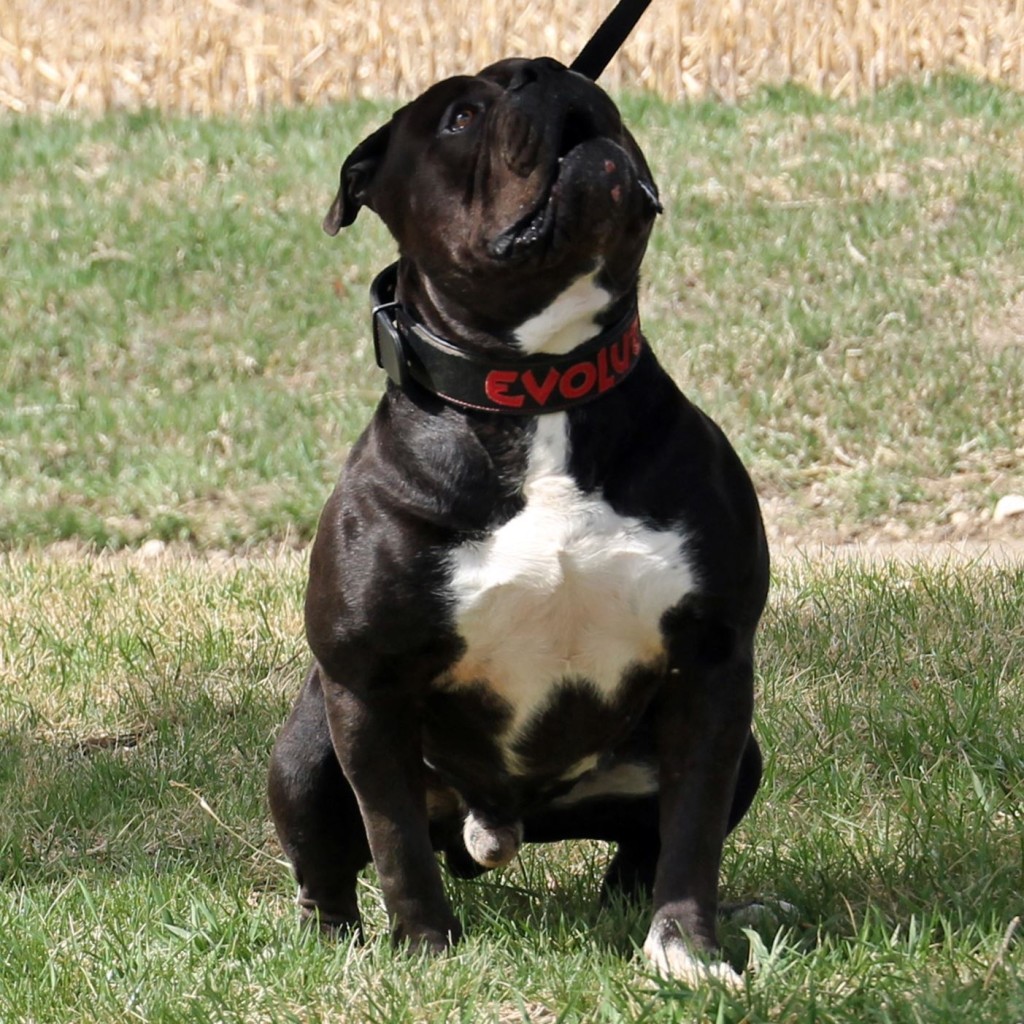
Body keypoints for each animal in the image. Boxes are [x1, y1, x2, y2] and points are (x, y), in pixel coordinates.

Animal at [268, 54, 765, 983]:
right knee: (331, 863)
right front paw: (424, 947)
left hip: (736, 754)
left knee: (644, 843)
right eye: (460, 116)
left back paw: (635, 907)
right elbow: (394, 842)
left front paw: (685, 948)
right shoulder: (365, 685)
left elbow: (693, 832)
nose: (547, 74)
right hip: (307, 748)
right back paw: (334, 939)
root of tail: (501, 825)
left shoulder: (713, 663)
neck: (539, 389)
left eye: (572, 70)